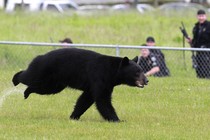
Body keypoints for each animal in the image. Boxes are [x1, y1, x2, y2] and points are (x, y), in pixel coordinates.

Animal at [12, 47, 148, 121]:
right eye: (137, 72)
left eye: (142, 70)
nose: (146, 80)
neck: (112, 73)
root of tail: (39, 56)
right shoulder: (99, 77)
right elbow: (102, 100)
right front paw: (118, 120)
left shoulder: (103, 84)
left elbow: (85, 99)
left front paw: (73, 116)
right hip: (43, 70)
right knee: (30, 76)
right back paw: (15, 79)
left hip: (55, 82)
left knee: (44, 89)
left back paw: (26, 92)